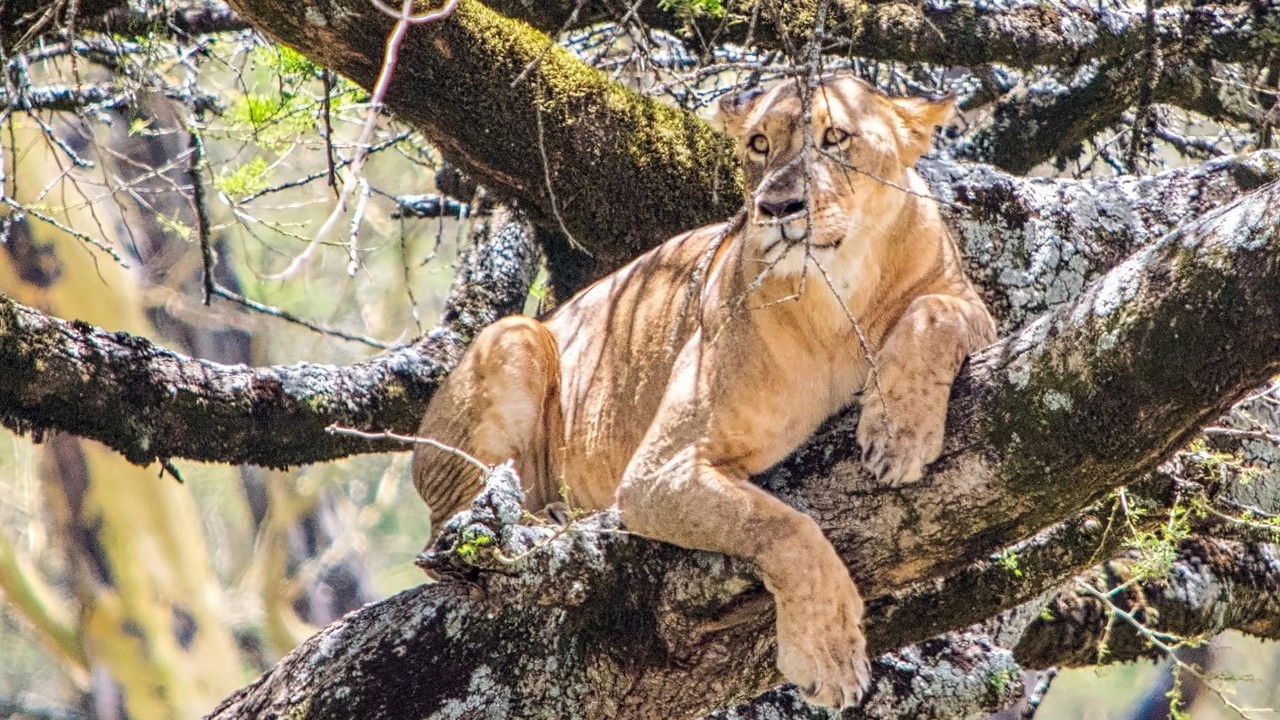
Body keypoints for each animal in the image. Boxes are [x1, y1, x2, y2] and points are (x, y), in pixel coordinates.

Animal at [412, 74, 996, 709]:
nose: (777, 208)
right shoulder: (657, 474)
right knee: (450, 529)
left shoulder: (967, 304)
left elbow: (933, 313)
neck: (838, 299)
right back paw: (542, 517)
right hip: (514, 336)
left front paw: (897, 433)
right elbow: (785, 527)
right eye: (760, 144)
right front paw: (828, 653)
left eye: (835, 137)